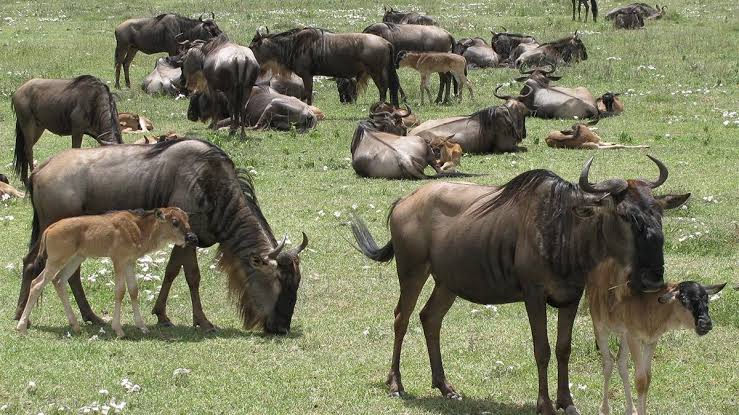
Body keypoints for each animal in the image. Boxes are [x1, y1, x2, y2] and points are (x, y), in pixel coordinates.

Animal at [16, 208, 198, 338]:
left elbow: (134, 291)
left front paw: (142, 326)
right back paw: (22, 327)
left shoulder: (130, 262)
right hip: (55, 261)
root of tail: (49, 229)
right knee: (37, 283)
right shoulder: (118, 260)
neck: (138, 227)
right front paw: (118, 330)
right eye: (175, 222)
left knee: (59, 281)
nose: (192, 238)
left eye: (187, 220)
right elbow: (120, 291)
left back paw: (75, 326)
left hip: (75, 259)